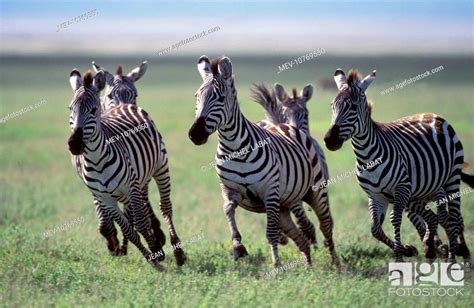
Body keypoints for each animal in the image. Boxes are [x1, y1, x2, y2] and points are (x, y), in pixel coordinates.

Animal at [67, 68, 186, 268]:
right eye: (70, 109)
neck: (96, 160)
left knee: (165, 207)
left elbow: (139, 223)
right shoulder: (104, 197)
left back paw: (178, 252)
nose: (74, 144)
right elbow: (129, 229)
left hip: (160, 168)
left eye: (93, 110)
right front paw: (151, 257)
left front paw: (156, 251)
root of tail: (122, 106)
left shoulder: (131, 187)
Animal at [187, 56, 338, 268]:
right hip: (284, 204)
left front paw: (276, 264)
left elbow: (270, 233)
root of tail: (283, 125)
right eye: (196, 97)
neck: (235, 149)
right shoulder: (230, 190)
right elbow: (227, 210)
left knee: (325, 225)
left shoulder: (270, 192)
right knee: (300, 234)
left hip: (314, 192)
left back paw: (335, 263)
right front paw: (238, 246)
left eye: (221, 98)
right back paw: (308, 265)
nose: (195, 134)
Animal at [324, 68, 472, 262]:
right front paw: (407, 250)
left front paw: (399, 256)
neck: (367, 157)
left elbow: (395, 219)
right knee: (438, 218)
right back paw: (434, 249)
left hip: (451, 179)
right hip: (422, 192)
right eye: (332, 106)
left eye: (353, 107)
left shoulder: (401, 189)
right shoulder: (375, 195)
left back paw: (453, 257)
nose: (329, 140)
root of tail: (433, 114)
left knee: (453, 218)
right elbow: (375, 229)